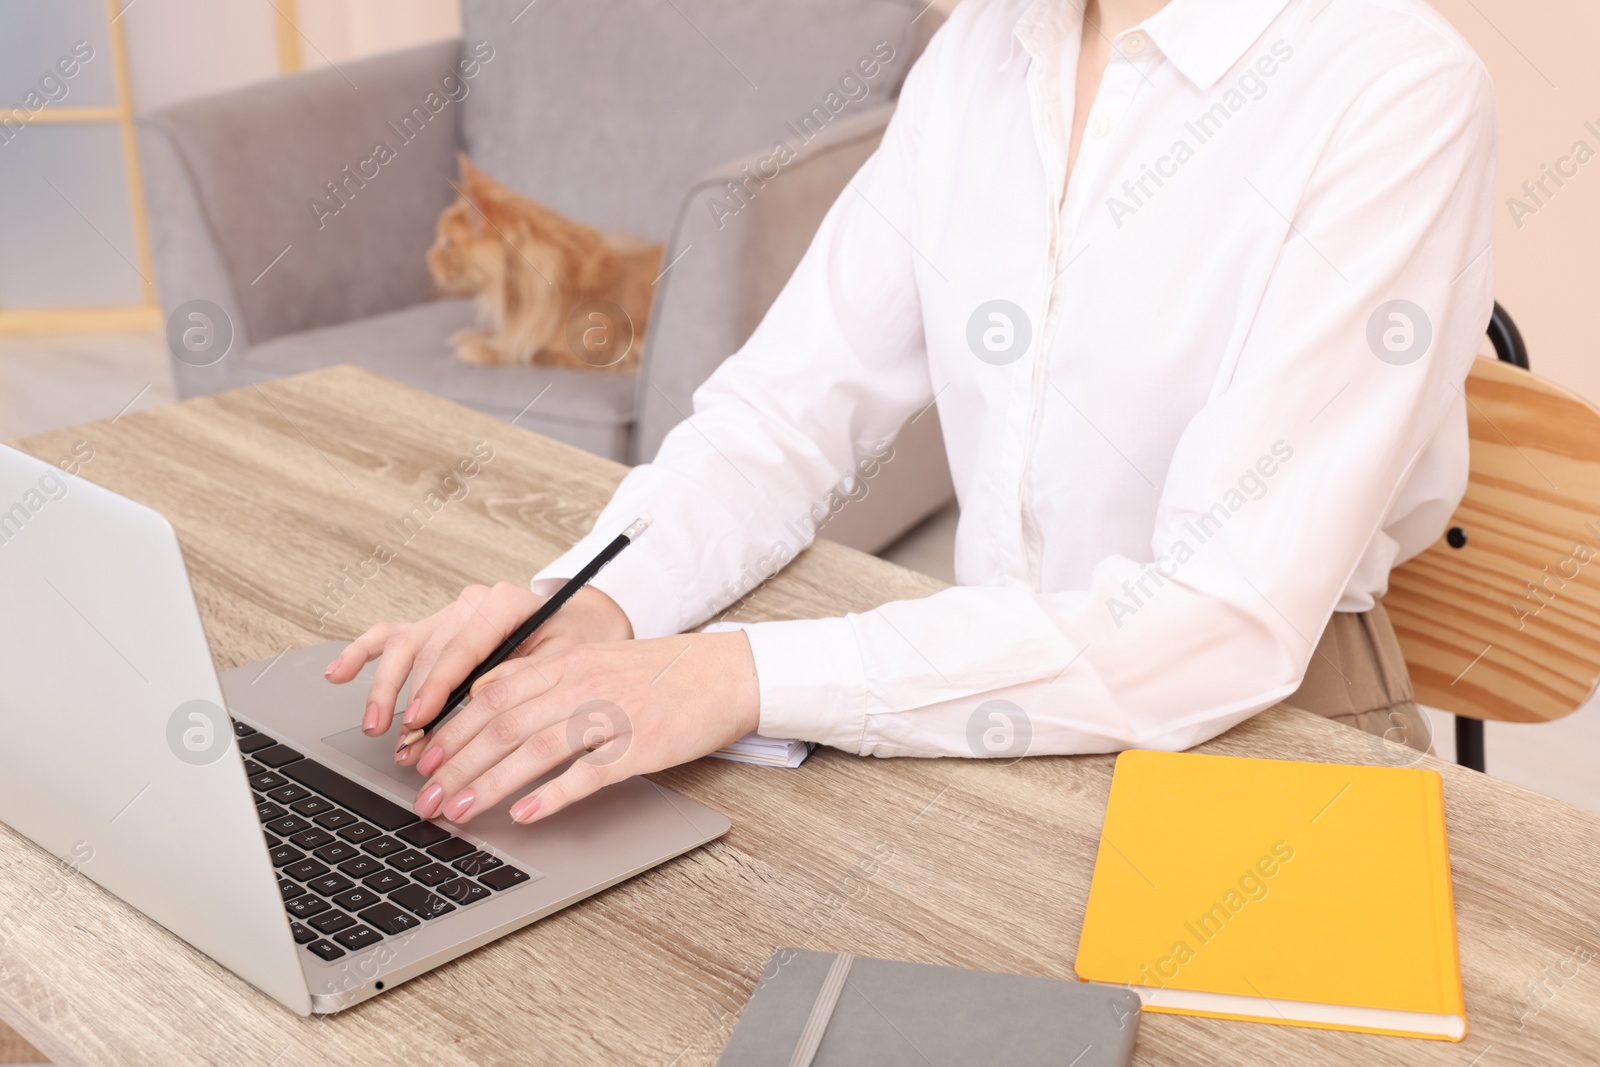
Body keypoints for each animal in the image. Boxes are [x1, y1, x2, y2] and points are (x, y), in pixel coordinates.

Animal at [425, 151, 662, 374]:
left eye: (448, 244)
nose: (428, 258)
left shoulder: (595, 352)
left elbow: (525, 350)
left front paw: (484, 348)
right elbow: (507, 333)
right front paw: (478, 336)